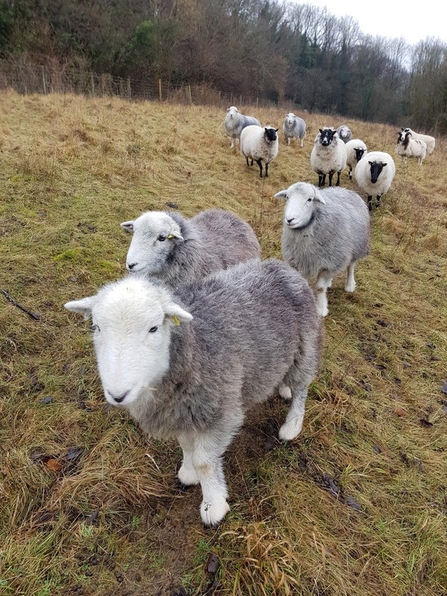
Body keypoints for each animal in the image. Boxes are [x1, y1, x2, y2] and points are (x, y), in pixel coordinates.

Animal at [65, 260, 324, 528]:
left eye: (154, 328)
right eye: (96, 327)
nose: (117, 394)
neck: (194, 348)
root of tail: (282, 267)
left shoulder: (220, 409)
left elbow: (205, 462)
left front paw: (213, 505)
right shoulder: (180, 410)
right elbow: (186, 445)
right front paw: (188, 473)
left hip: (305, 348)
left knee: (302, 388)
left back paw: (292, 425)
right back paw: (283, 388)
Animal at [276, 180, 372, 316]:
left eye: (310, 199)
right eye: (287, 197)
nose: (289, 219)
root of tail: (345, 190)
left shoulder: (330, 263)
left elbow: (320, 288)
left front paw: (321, 309)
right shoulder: (299, 261)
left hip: (355, 248)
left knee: (351, 266)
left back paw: (349, 285)